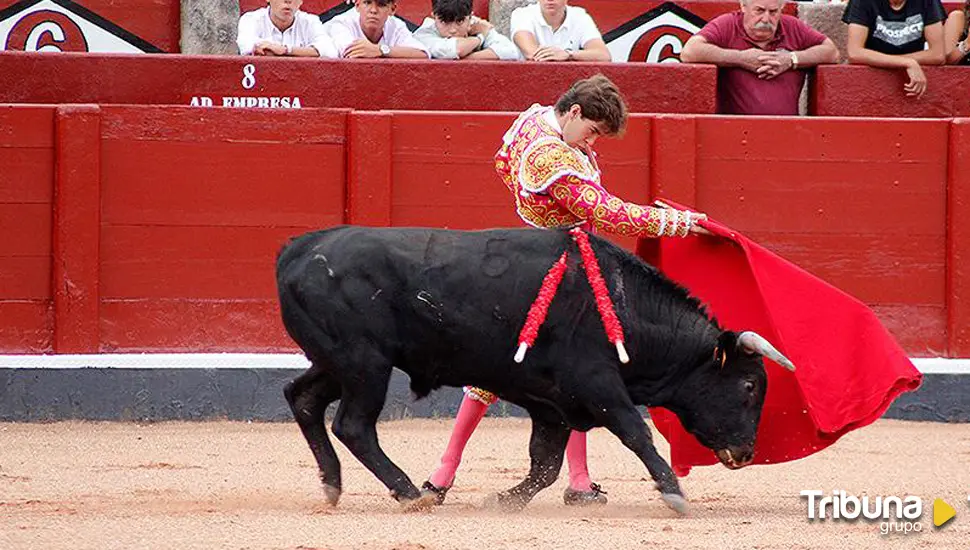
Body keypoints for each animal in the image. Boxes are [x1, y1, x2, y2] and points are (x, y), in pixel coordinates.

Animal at [276, 226, 792, 516]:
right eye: (749, 384)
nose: (746, 452)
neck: (625, 307)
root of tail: (297, 250)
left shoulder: (555, 403)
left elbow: (545, 463)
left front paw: (505, 501)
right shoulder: (598, 385)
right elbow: (636, 434)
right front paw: (674, 493)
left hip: (338, 362)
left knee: (302, 398)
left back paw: (332, 484)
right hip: (366, 364)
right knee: (353, 424)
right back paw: (409, 493)